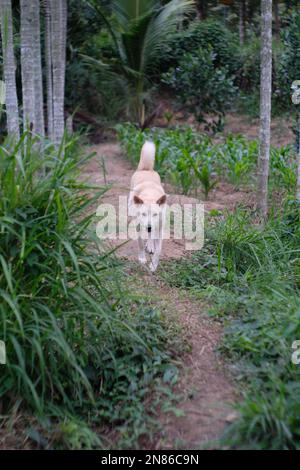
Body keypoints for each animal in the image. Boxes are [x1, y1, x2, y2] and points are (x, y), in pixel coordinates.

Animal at [128, 140, 168, 272]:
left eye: (155, 214)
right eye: (143, 214)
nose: (149, 227)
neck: (150, 194)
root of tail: (146, 169)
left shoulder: (159, 227)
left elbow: (158, 249)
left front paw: (154, 265)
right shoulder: (139, 225)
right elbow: (140, 243)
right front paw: (142, 259)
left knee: (152, 236)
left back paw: (150, 245)